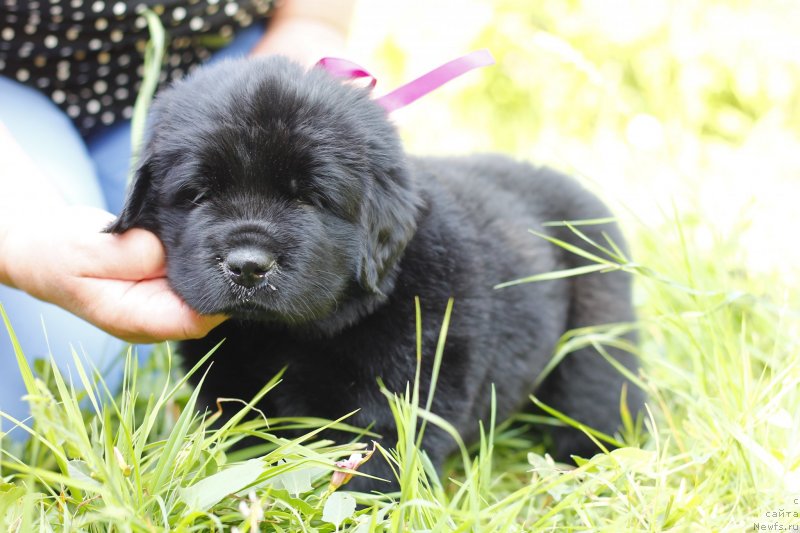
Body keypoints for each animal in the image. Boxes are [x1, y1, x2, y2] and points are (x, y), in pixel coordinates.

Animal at [108, 56, 644, 488]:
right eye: (199, 194)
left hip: (596, 334)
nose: (247, 266)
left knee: (599, 394)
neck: (289, 335)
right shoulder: (226, 384)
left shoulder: (403, 394)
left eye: (309, 199)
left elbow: (373, 468)